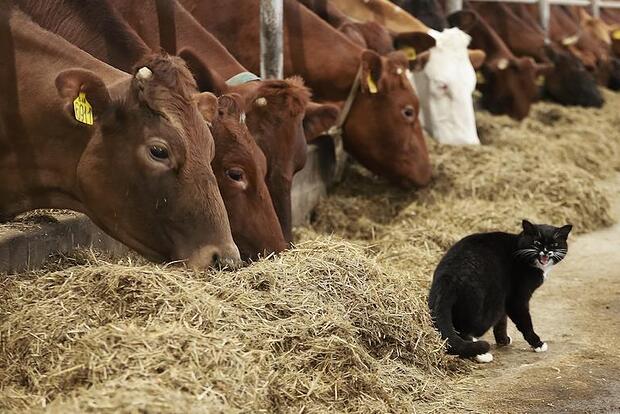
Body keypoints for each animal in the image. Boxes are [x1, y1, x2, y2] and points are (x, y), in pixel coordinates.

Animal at [428, 220, 568, 362]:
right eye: (537, 242)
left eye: (554, 244)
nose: (546, 251)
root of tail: (447, 276)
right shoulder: (516, 299)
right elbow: (525, 322)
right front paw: (538, 344)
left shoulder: (505, 297)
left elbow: (502, 321)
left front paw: (503, 340)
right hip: (490, 304)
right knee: (466, 329)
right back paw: (481, 354)